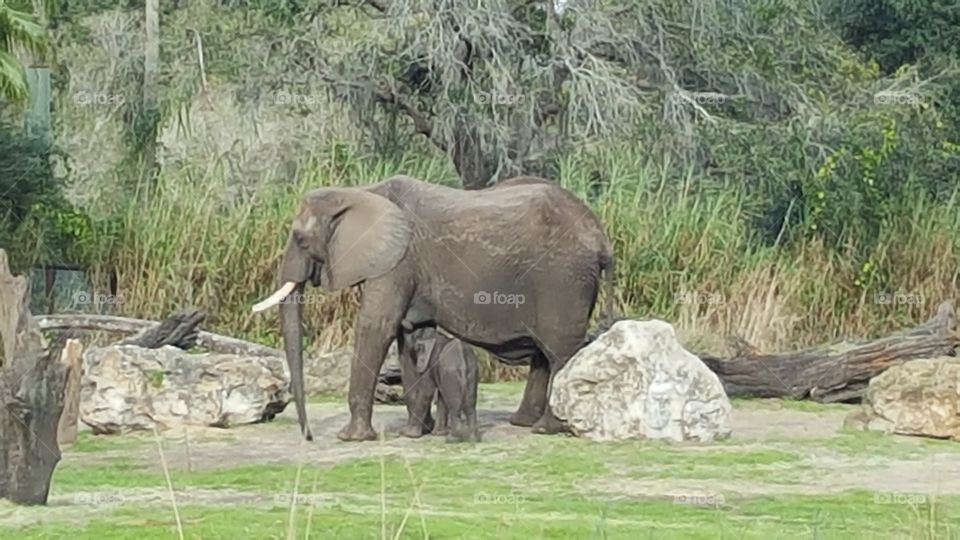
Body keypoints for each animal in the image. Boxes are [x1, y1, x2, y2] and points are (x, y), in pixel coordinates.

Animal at [253, 175, 616, 440]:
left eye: (301, 239)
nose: (308, 436)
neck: (360, 192)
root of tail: (601, 237)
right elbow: (407, 337)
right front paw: (416, 433)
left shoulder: (396, 263)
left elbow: (376, 327)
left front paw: (352, 437)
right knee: (544, 353)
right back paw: (524, 424)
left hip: (563, 280)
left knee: (559, 352)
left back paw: (547, 429)